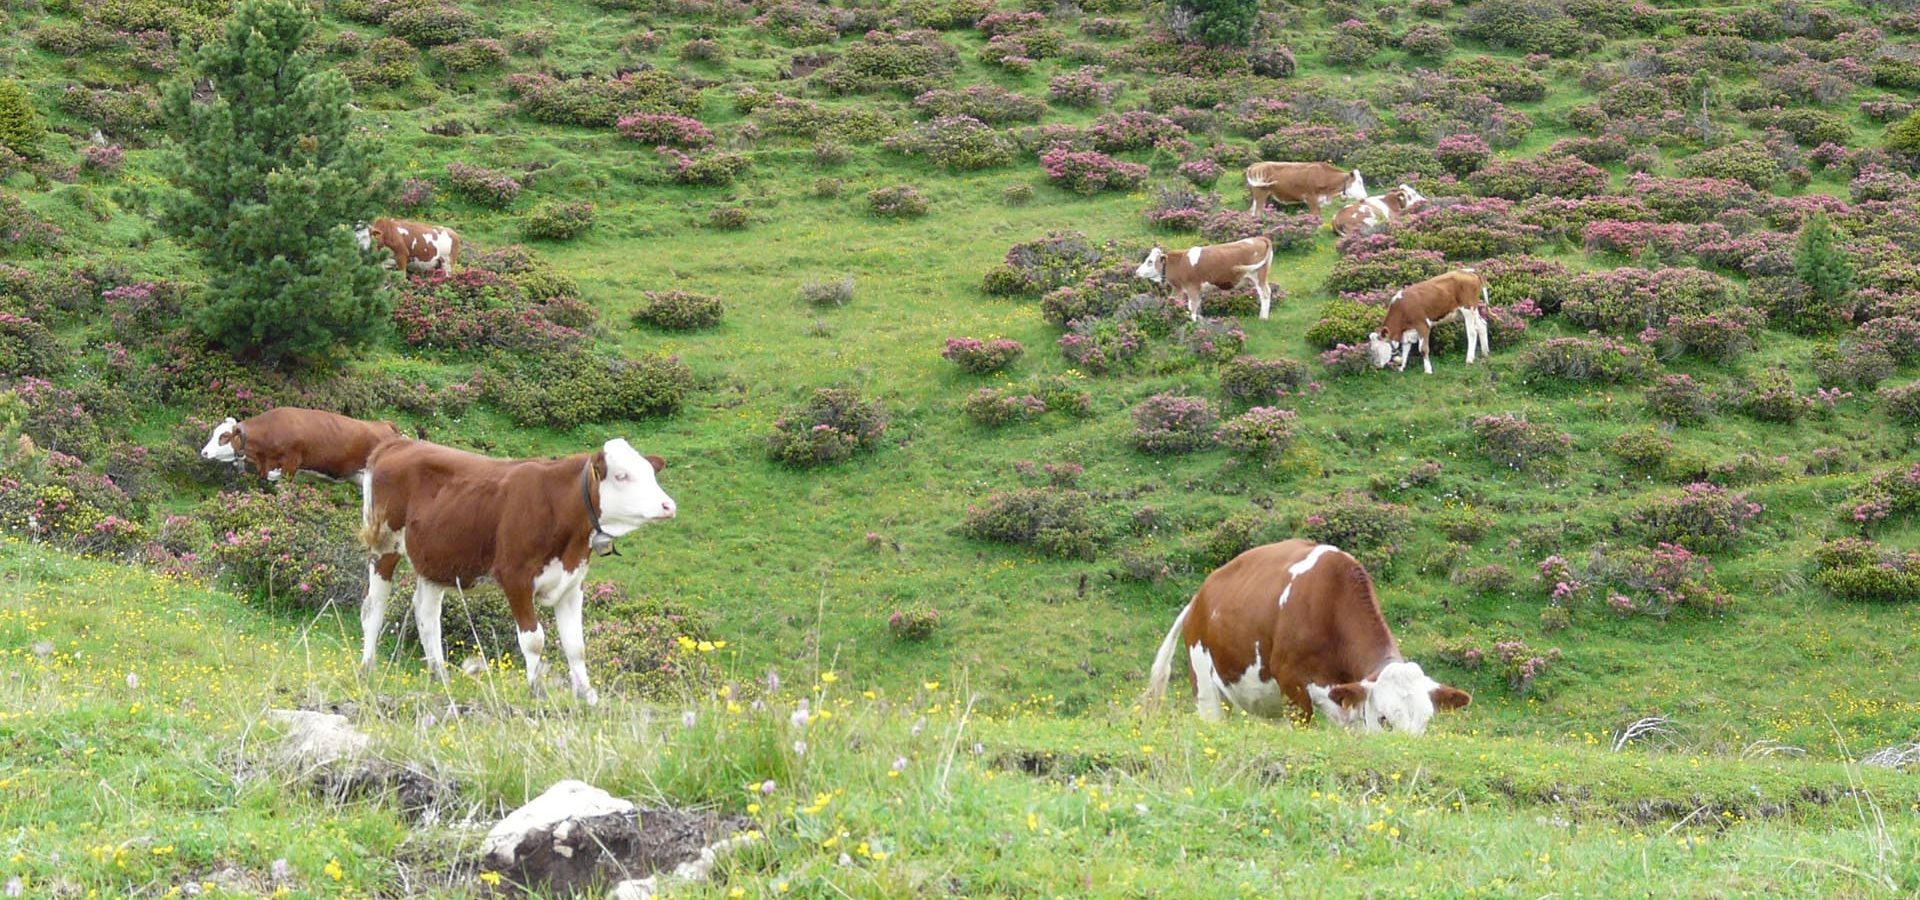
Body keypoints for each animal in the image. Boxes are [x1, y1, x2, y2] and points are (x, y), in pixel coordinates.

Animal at [357, 435, 679, 702]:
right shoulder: (517, 579)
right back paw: (367, 668)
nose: (668, 506)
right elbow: (534, 639)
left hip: (435, 560)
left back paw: (441, 676)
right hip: (384, 545)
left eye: (651, 473)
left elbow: (576, 645)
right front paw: (536, 690)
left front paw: (586, 694)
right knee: (373, 607)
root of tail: (398, 443)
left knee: (426, 615)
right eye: (622, 476)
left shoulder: (571, 585)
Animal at [1136, 236, 1274, 320]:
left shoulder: (1192, 288)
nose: (1137, 272)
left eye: (1150, 261)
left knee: (1265, 294)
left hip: (1259, 276)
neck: (1180, 263)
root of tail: (1259, 238)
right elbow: (1196, 306)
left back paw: (1263, 318)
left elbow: (1192, 307)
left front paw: (1192, 322)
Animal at [1359, 270, 1489, 376]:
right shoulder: (1407, 332)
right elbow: (1406, 349)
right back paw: (1485, 353)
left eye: (1376, 349)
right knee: (1482, 326)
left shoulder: (1422, 325)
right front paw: (1402, 368)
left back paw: (1469, 360)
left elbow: (1423, 349)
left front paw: (1428, 370)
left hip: (1468, 310)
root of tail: (1468, 271)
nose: (1376, 365)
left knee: (1472, 333)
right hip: (1469, 310)